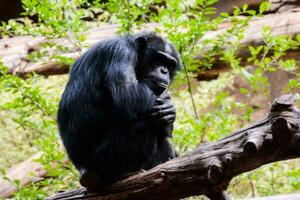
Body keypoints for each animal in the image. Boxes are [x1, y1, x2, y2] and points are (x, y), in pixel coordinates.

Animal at [57, 31, 182, 189]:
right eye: (159, 58)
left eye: (170, 64)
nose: (164, 71)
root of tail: (84, 171)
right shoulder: (121, 52)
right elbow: (127, 94)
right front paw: (166, 100)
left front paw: (168, 111)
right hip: (101, 160)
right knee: (145, 121)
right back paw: (123, 173)